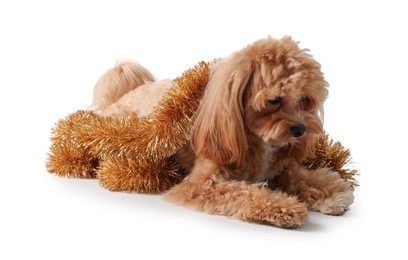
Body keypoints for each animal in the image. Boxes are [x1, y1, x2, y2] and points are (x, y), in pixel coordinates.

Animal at [92, 36, 354, 228]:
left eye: (305, 99)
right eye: (275, 100)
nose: (301, 130)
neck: (259, 142)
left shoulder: (282, 169)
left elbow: (305, 177)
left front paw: (333, 194)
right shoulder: (203, 183)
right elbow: (244, 192)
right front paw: (285, 206)